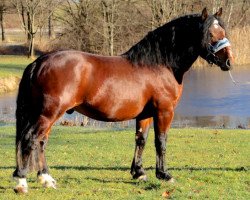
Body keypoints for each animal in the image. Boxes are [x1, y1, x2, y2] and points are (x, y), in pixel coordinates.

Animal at [13, 7, 233, 192]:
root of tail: (40, 62)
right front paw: (164, 174)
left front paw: (139, 173)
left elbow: (141, 140)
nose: (228, 61)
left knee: (41, 141)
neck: (160, 64)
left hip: (46, 114)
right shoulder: (164, 111)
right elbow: (161, 141)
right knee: (31, 138)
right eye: (210, 34)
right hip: (49, 113)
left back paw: (46, 179)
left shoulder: (145, 114)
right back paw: (22, 182)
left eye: (224, 31)